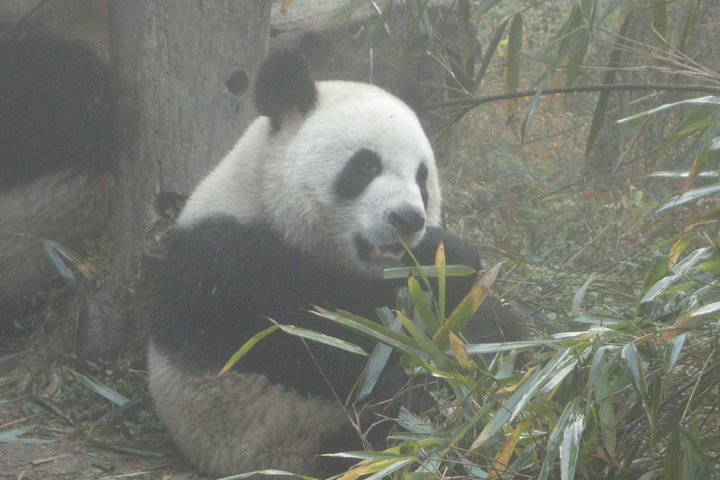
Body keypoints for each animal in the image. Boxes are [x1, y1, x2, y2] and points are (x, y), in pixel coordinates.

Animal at [148, 51, 520, 477]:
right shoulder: (231, 267)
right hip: (299, 434)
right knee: (401, 410)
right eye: (365, 166)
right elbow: (333, 346)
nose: (408, 219)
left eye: (422, 178)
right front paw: (448, 259)